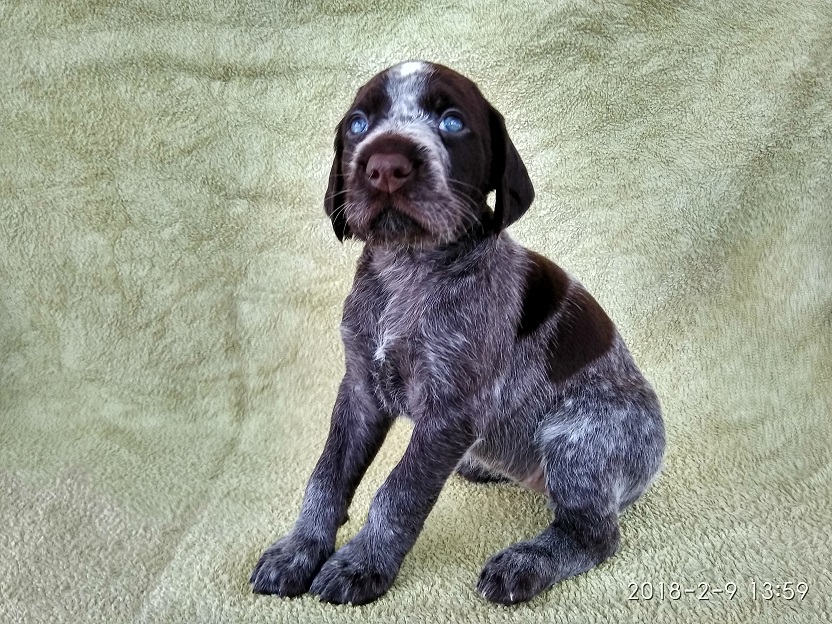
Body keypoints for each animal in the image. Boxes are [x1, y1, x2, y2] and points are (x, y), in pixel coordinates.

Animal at [250, 60, 665, 606]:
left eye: (452, 123)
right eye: (358, 125)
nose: (385, 166)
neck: (408, 269)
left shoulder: (448, 414)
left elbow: (398, 493)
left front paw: (363, 564)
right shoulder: (359, 389)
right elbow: (327, 476)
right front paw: (299, 549)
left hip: (579, 439)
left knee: (594, 533)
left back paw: (525, 563)